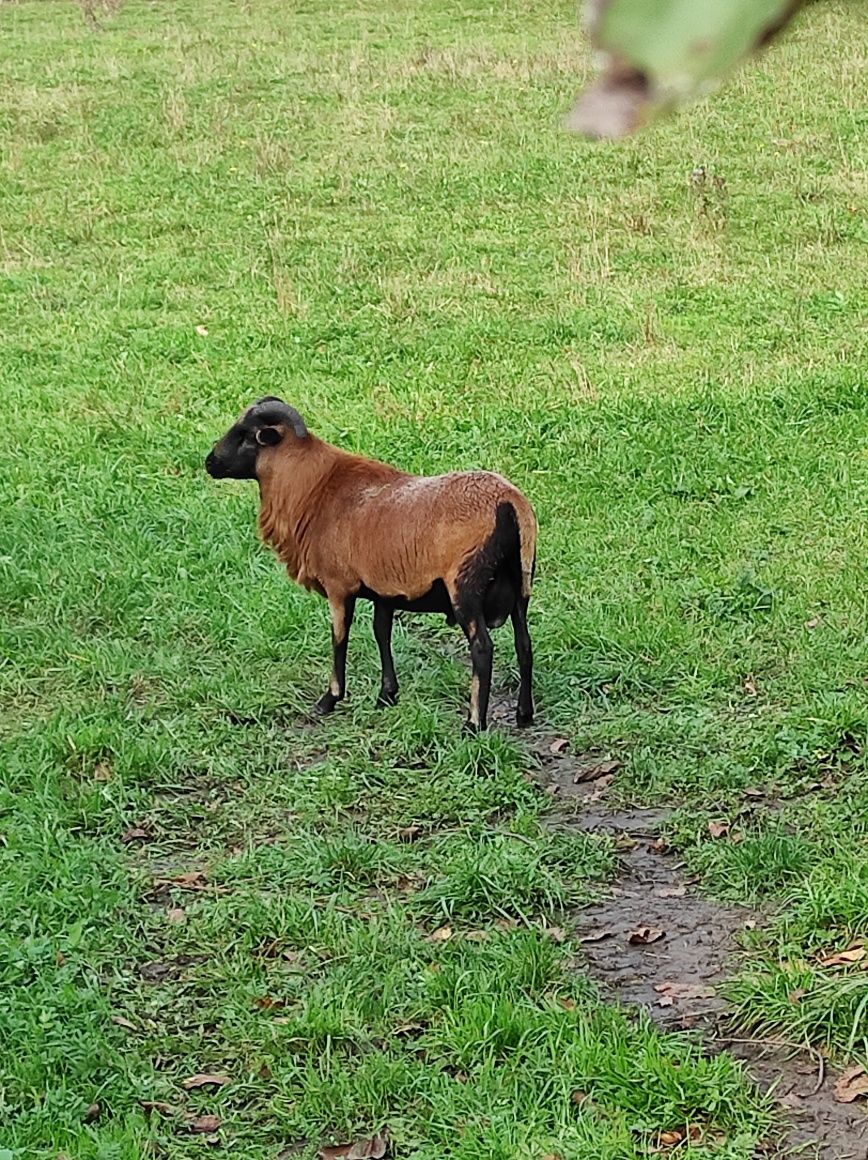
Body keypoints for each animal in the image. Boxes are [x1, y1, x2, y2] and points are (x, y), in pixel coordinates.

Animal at [206, 394, 538, 728]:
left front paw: (329, 699)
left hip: (465, 586)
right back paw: (524, 714)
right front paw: (387, 695)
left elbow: (339, 637)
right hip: (521, 583)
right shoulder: (385, 592)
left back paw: (472, 724)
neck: (313, 488)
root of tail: (509, 504)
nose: (209, 462)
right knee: (524, 644)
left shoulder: (339, 587)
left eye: (245, 434)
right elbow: (382, 633)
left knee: (482, 648)